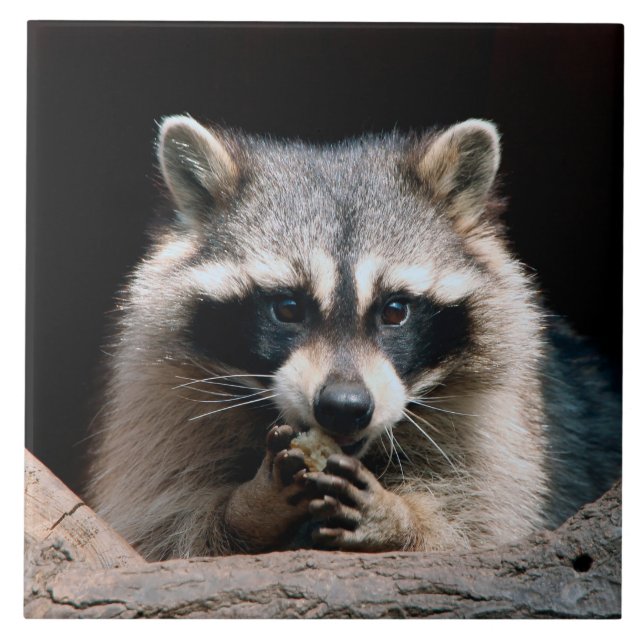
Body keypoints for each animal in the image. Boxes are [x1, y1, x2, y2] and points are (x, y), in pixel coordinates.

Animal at [86, 115, 621, 560]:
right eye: (288, 308)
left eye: (395, 311)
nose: (344, 406)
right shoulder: (164, 402)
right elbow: (162, 529)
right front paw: (248, 508)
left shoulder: (502, 424)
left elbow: (484, 531)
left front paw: (400, 519)